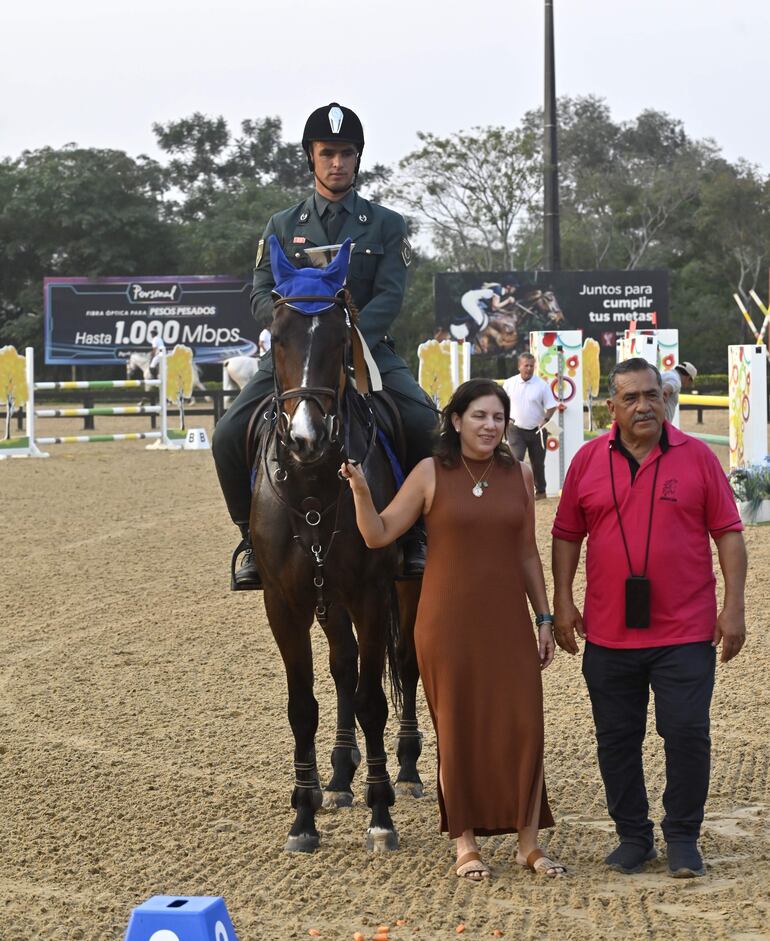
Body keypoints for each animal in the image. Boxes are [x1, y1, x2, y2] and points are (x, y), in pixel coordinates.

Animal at [249, 233, 424, 852]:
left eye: (335, 336)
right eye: (277, 335)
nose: (305, 437)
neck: (314, 485)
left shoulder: (371, 594)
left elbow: (375, 699)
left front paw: (382, 813)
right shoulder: (285, 602)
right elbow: (304, 706)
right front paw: (303, 817)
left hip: (401, 589)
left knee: (406, 661)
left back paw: (406, 767)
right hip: (330, 601)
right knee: (344, 665)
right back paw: (342, 775)